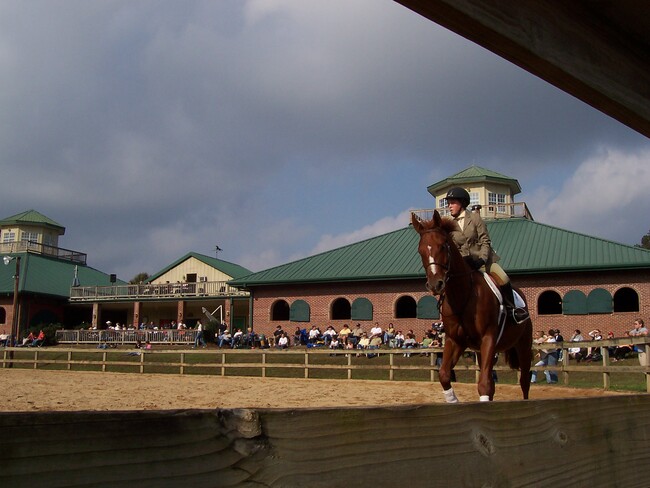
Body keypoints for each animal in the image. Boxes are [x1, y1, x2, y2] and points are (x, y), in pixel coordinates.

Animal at [410, 212, 532, 402]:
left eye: (443, 246)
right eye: (420, 250)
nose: (435, 285)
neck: (462, 295)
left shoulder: (488, 338)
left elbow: (484, 385)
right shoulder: (455, 341)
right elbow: (444, 375)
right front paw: (453, 400)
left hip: (523, 346)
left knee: (524, 381)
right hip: (483, 352)